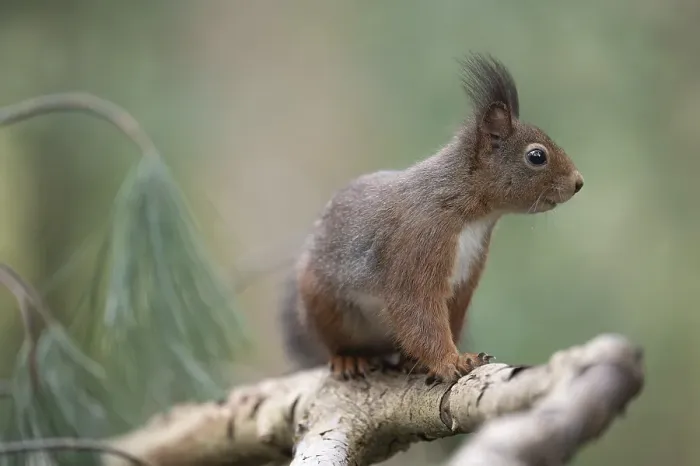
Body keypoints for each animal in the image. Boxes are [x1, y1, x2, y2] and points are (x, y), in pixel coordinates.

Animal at [279, 53, 583, 382]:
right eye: (537, 156)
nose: (578, 182)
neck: (470, 212)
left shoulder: (465, 279)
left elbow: (450, 315)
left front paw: (441, 360)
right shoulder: (419, 243)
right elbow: (417, 310)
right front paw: (453, 361)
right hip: (324, 305)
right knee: (336, 343)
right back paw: (349, 358)